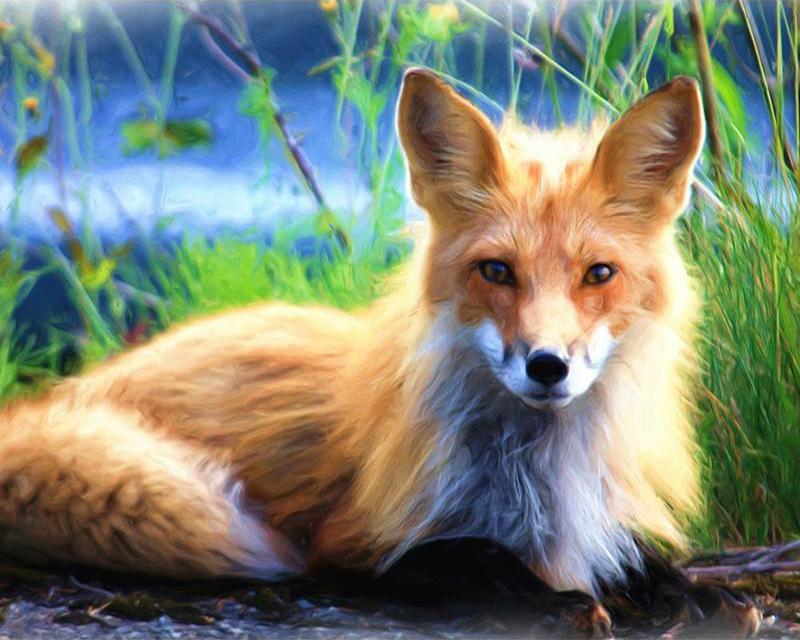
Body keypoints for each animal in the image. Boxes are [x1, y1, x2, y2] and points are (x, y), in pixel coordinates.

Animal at [0, 69, 756, 634]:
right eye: (496, 271)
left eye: (598, 274)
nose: (547, 365)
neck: (537, 474)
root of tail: (57, 397)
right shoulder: (354, 544)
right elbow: (473, 555)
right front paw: (560, 602)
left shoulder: (600, 518)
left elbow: (642, 558)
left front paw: (692, 592)